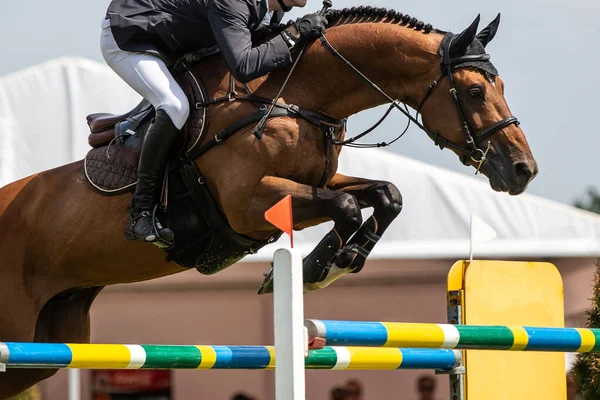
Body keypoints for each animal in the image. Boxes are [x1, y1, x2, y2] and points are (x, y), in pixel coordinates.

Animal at [0, 6, 536, 396]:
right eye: (474, 90)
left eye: (501, 86)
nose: (523, 170)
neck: (298, 96)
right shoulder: (248, 204)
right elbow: (345, 208)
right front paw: (318, 267)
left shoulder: (318, 181)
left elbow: (386, 194)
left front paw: (335, 261)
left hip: (50, 337)